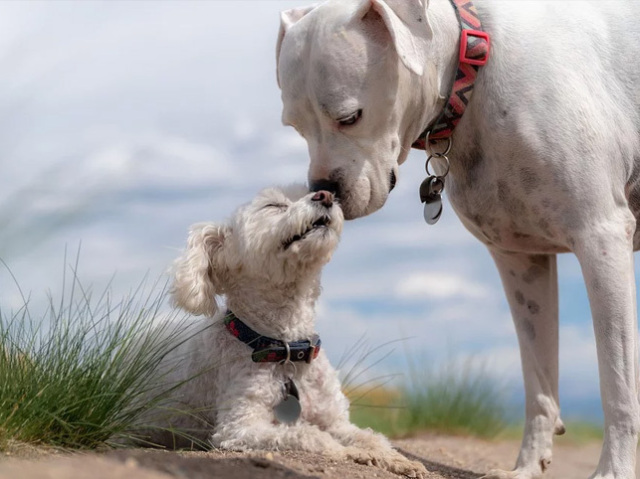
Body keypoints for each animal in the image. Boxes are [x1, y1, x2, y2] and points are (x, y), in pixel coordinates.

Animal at [148, 185, 424, 479]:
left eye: (307, 192)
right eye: (274, 206)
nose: (326, 195)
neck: (287, 349)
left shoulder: (336, 421)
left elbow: (371, 437)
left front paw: (398, 460)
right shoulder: (239, 428)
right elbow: (310, 436)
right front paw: (351, 453)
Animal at [278, 0, 640, 479]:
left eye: (349, 117)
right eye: (294, 126)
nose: (323, 190)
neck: (473, 70)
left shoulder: (601, 238)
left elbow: (617, 382)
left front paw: (614, 469)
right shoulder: (520, 260)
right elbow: (539, 378)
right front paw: (526, 467)